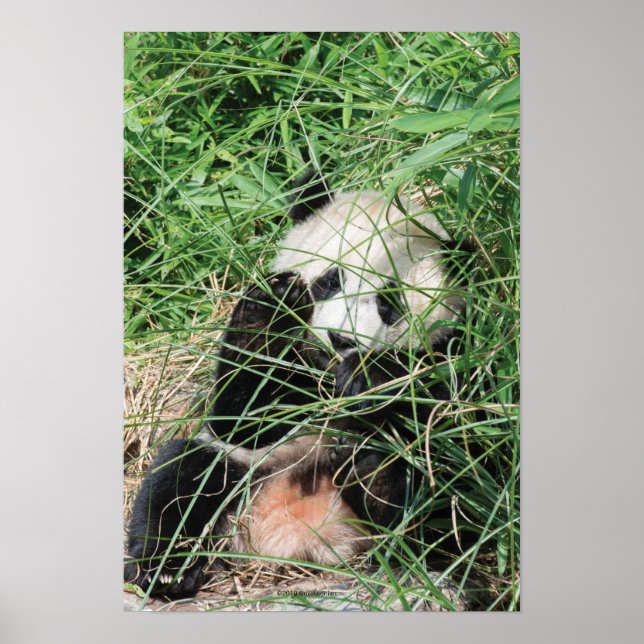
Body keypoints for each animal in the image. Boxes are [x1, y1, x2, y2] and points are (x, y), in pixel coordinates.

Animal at [124, 171, 469, 598]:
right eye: (331, 280)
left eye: (388, 302)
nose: (342, 339)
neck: (324, 371)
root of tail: (299, 534)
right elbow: (242, 418)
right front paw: (272, 304)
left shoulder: (457, 348)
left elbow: (453, 407)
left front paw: (369, 375)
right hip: (248, 470)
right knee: (181, 478)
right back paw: (166, 571)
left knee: (442, 495)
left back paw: (374, 479)